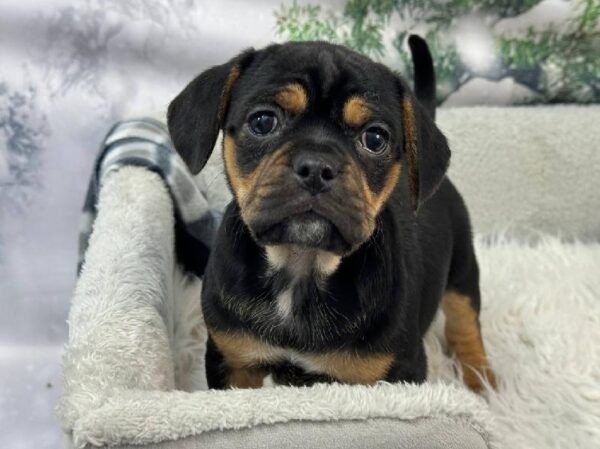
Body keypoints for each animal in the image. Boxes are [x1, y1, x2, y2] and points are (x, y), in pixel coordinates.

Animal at [166, 36, 494, 390]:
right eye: (263, 122)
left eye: (375, 138)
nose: (316, 167)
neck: (301, 267)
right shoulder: (233, 360)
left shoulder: (401, 372)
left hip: (462, 269)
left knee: (465, 322)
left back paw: (482, 382)